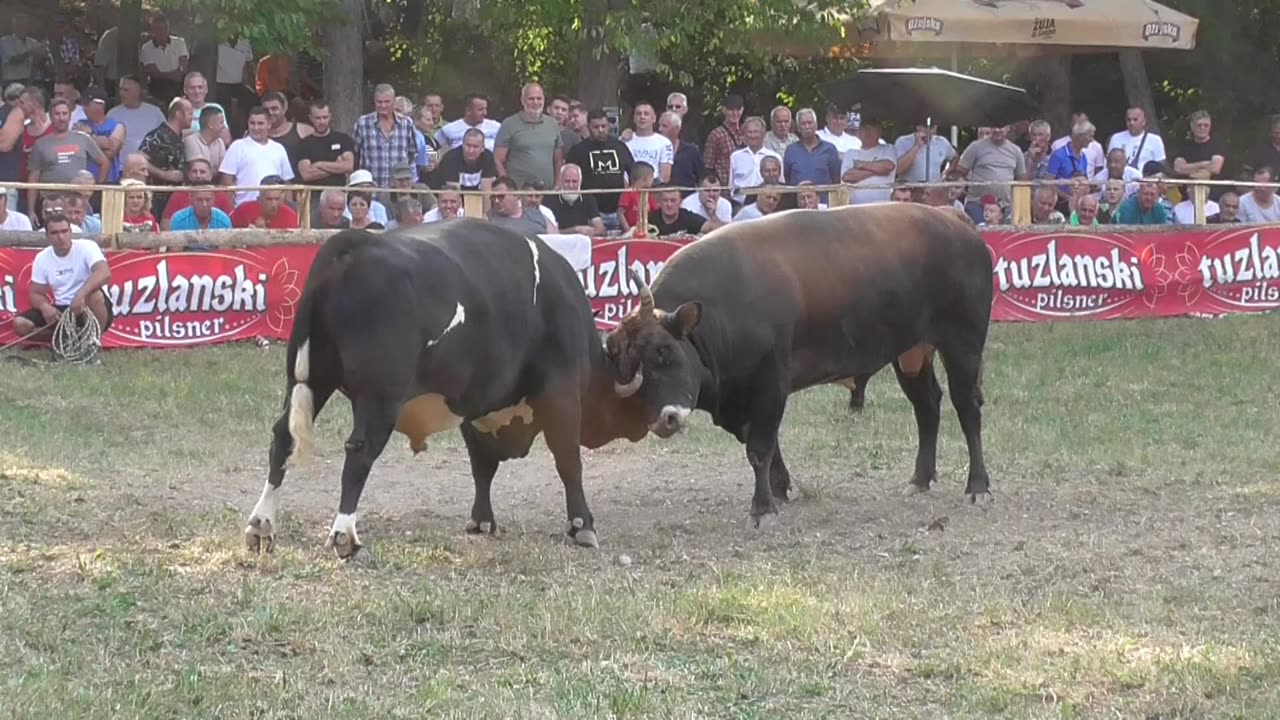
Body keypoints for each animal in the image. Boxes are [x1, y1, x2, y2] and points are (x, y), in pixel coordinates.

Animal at [241, 219, 650, 556]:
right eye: (659, 356)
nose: (656, 422)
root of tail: (356, 245)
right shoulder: (560, 393)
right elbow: (568, 461)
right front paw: (582, 525)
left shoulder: (474, 404)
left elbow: (481, 466)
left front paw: (482, 520)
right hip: (379, 398)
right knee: (359, 453)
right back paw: (344, 533)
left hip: (309, 380)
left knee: (283, 438)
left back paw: (262, 523)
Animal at [601, 203, 998, 527]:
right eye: (625, 368)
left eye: (663, 351)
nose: (665, 419)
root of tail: (952, 218)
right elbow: (764, 444)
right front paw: (780, 488)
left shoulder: (771, 380)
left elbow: (760, 447)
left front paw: (762, 508)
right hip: (911, 353)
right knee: (927, 406)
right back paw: (920, 479)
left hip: (962, 344)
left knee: (967, 408)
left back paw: (978, 486)